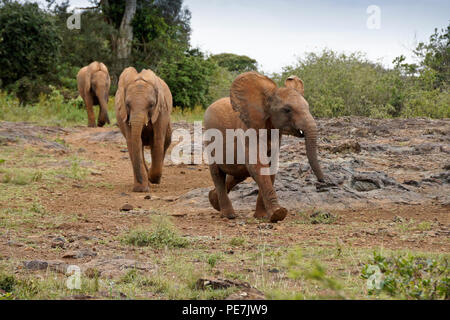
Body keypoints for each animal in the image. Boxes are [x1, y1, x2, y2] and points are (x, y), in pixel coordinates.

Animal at [205, 72, 326, 222]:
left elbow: (271, 167)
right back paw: (229, 215)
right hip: (209, 137)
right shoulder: (247, 129)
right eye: (287, 110)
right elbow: (258, 166)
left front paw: (262, 217)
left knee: (239, 173)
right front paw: (278, 214)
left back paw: (213, 200)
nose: (322, 181)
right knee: (218, 174)